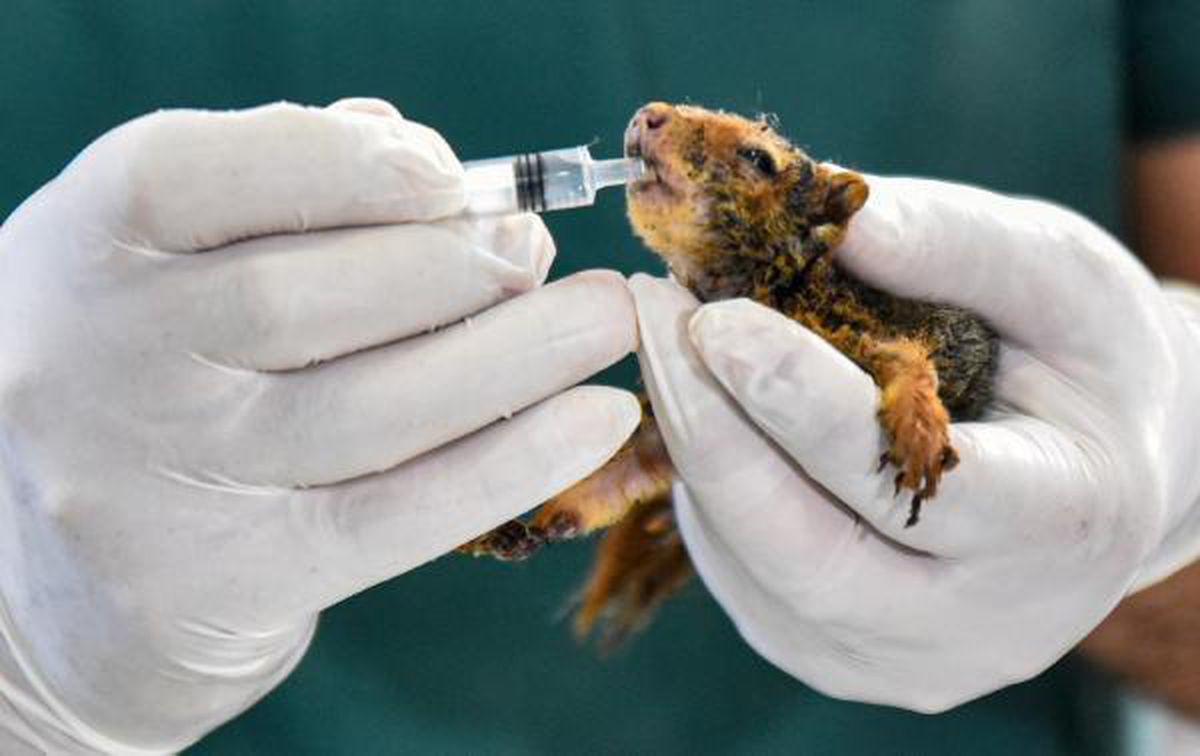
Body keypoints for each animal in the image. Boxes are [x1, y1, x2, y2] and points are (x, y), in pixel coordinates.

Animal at [461, 102, 998, 646]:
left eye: (759, 158)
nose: (648, 114)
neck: (747, 288)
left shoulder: (849, 327)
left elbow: (908, 363)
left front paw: (919, 434)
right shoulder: (657, 438)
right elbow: (618, 478)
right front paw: (524, 525)